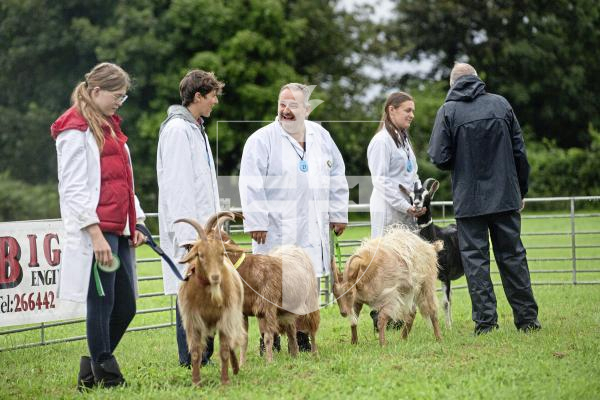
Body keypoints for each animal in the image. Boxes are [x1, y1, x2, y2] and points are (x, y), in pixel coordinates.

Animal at [176, 217, 246, 386]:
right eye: (200, 254)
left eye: (222, 253)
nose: (215, 277)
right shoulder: (193, 320)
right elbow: (195, 352)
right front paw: (196, 382)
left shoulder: (226, 317)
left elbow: (225, 350)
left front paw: (225, 381)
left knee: (231, 342)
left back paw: (235, 368)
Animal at [204, 211, 322, 364]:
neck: (247, 271)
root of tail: (295, 248)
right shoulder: (243, 312)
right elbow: (244, 339)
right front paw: (242, 364)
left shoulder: (268, 308)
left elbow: (268, 337)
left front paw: (269, 362)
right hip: (286, 308)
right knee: (291, 330)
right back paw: (295, 356)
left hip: (310, 300)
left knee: (312, 327)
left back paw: (314, 354)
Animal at [404, 179, 464, 328]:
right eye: (411, 196)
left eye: (427, 195)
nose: (416, 204)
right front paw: (430, 327)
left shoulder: (445, 276)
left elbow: (445, 303)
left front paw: (448, 327)